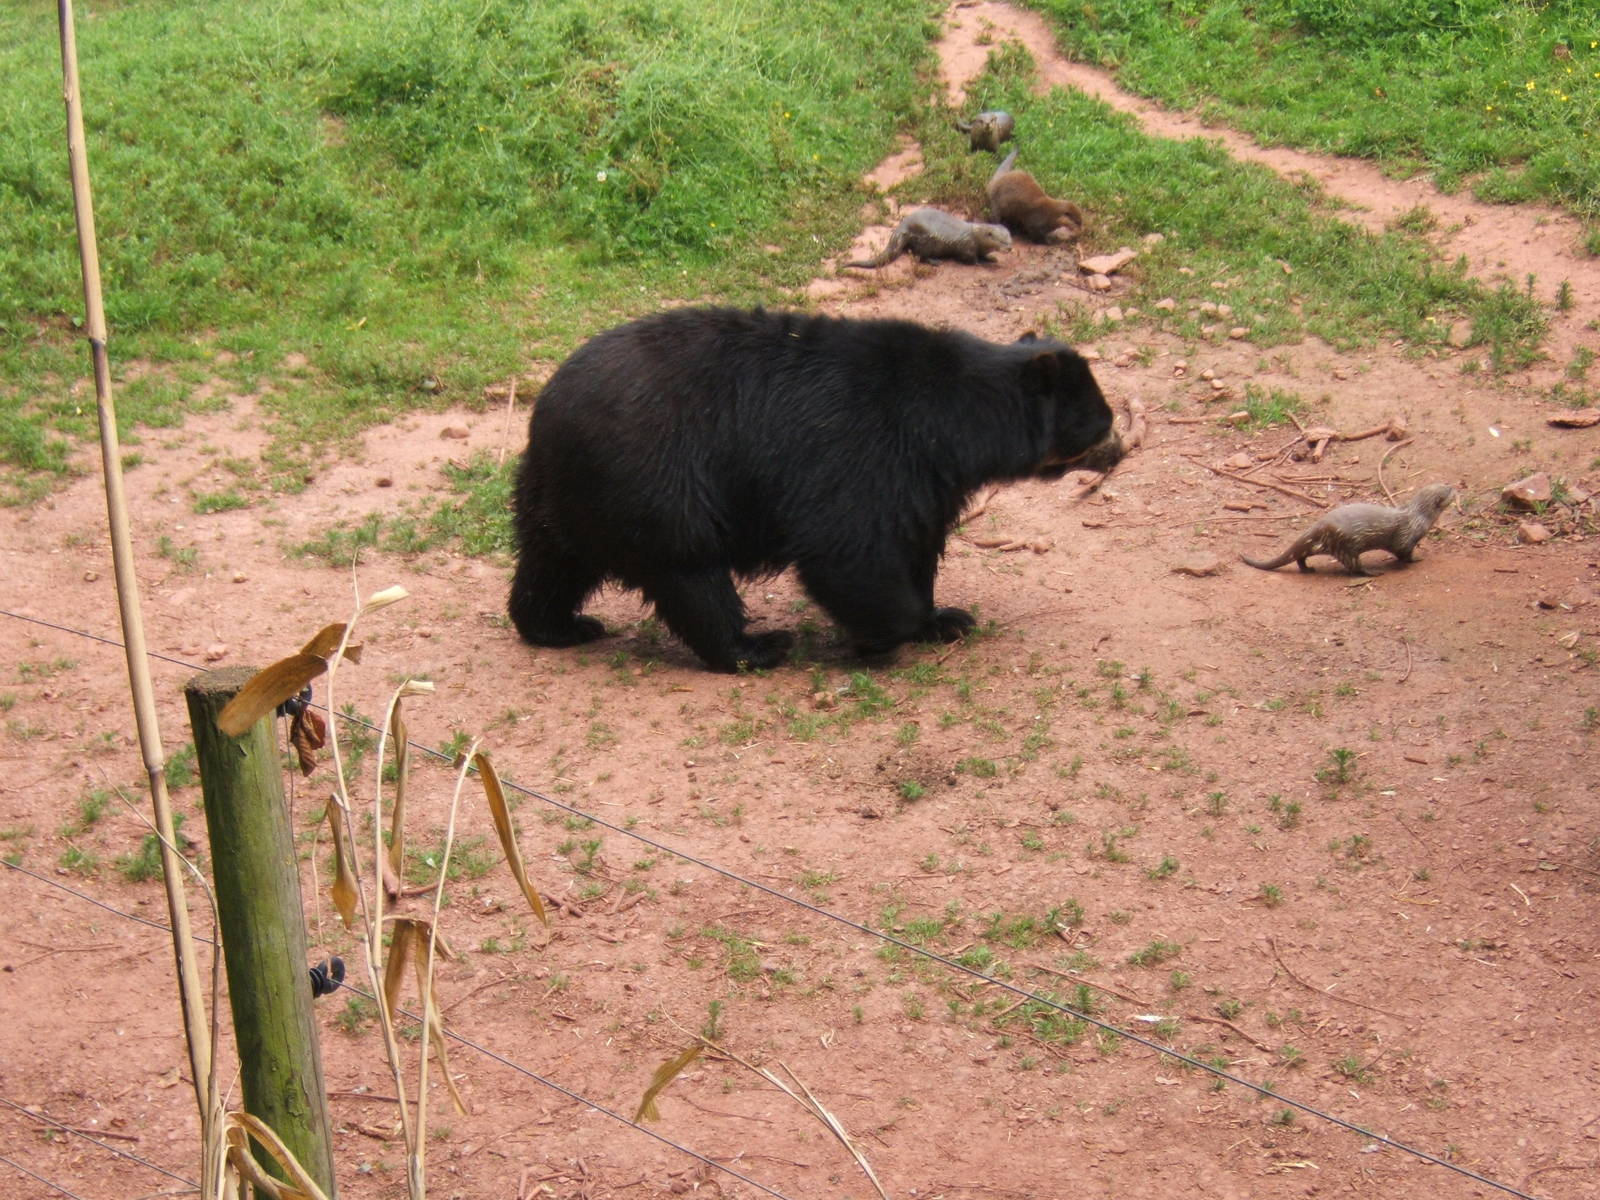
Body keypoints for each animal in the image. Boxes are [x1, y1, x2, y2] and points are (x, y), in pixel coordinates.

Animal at [508, 307, 1123, 672]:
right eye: (1101, 422)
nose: (1119, 451)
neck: (949, 425)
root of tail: (547, 408)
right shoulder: (863, 451)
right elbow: (847, 549)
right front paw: (885, 636)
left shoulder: (922, 481)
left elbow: (914, 544)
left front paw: (944, 619)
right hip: (657, 483)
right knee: (690, 575)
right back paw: (756, 647)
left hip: (562, 492)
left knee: (552, 562)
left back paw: (557, 626)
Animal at [844, 207, 1012, 270]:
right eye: (1002, 241)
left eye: (1010, 239)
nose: (1010, 248)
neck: (976, 236)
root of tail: (904, 225)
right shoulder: (967, 246)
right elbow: (969, 258)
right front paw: (980, 263)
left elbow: (984, 255)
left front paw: (991, 258)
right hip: (927, 240)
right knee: (919, 254)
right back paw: (934, 261)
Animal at [1241, 484, 1456, 575]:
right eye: (1448, 490)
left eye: (1445, 484)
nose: (1456, 486)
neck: (1417, 518)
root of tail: (1321, 524)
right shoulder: (1405, 538)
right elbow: (1403, 553)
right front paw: (1417, 558)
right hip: (1347, 545)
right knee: (1354, 566)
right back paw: (1373, 572)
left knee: (1301, 556)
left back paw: (1308, 569)